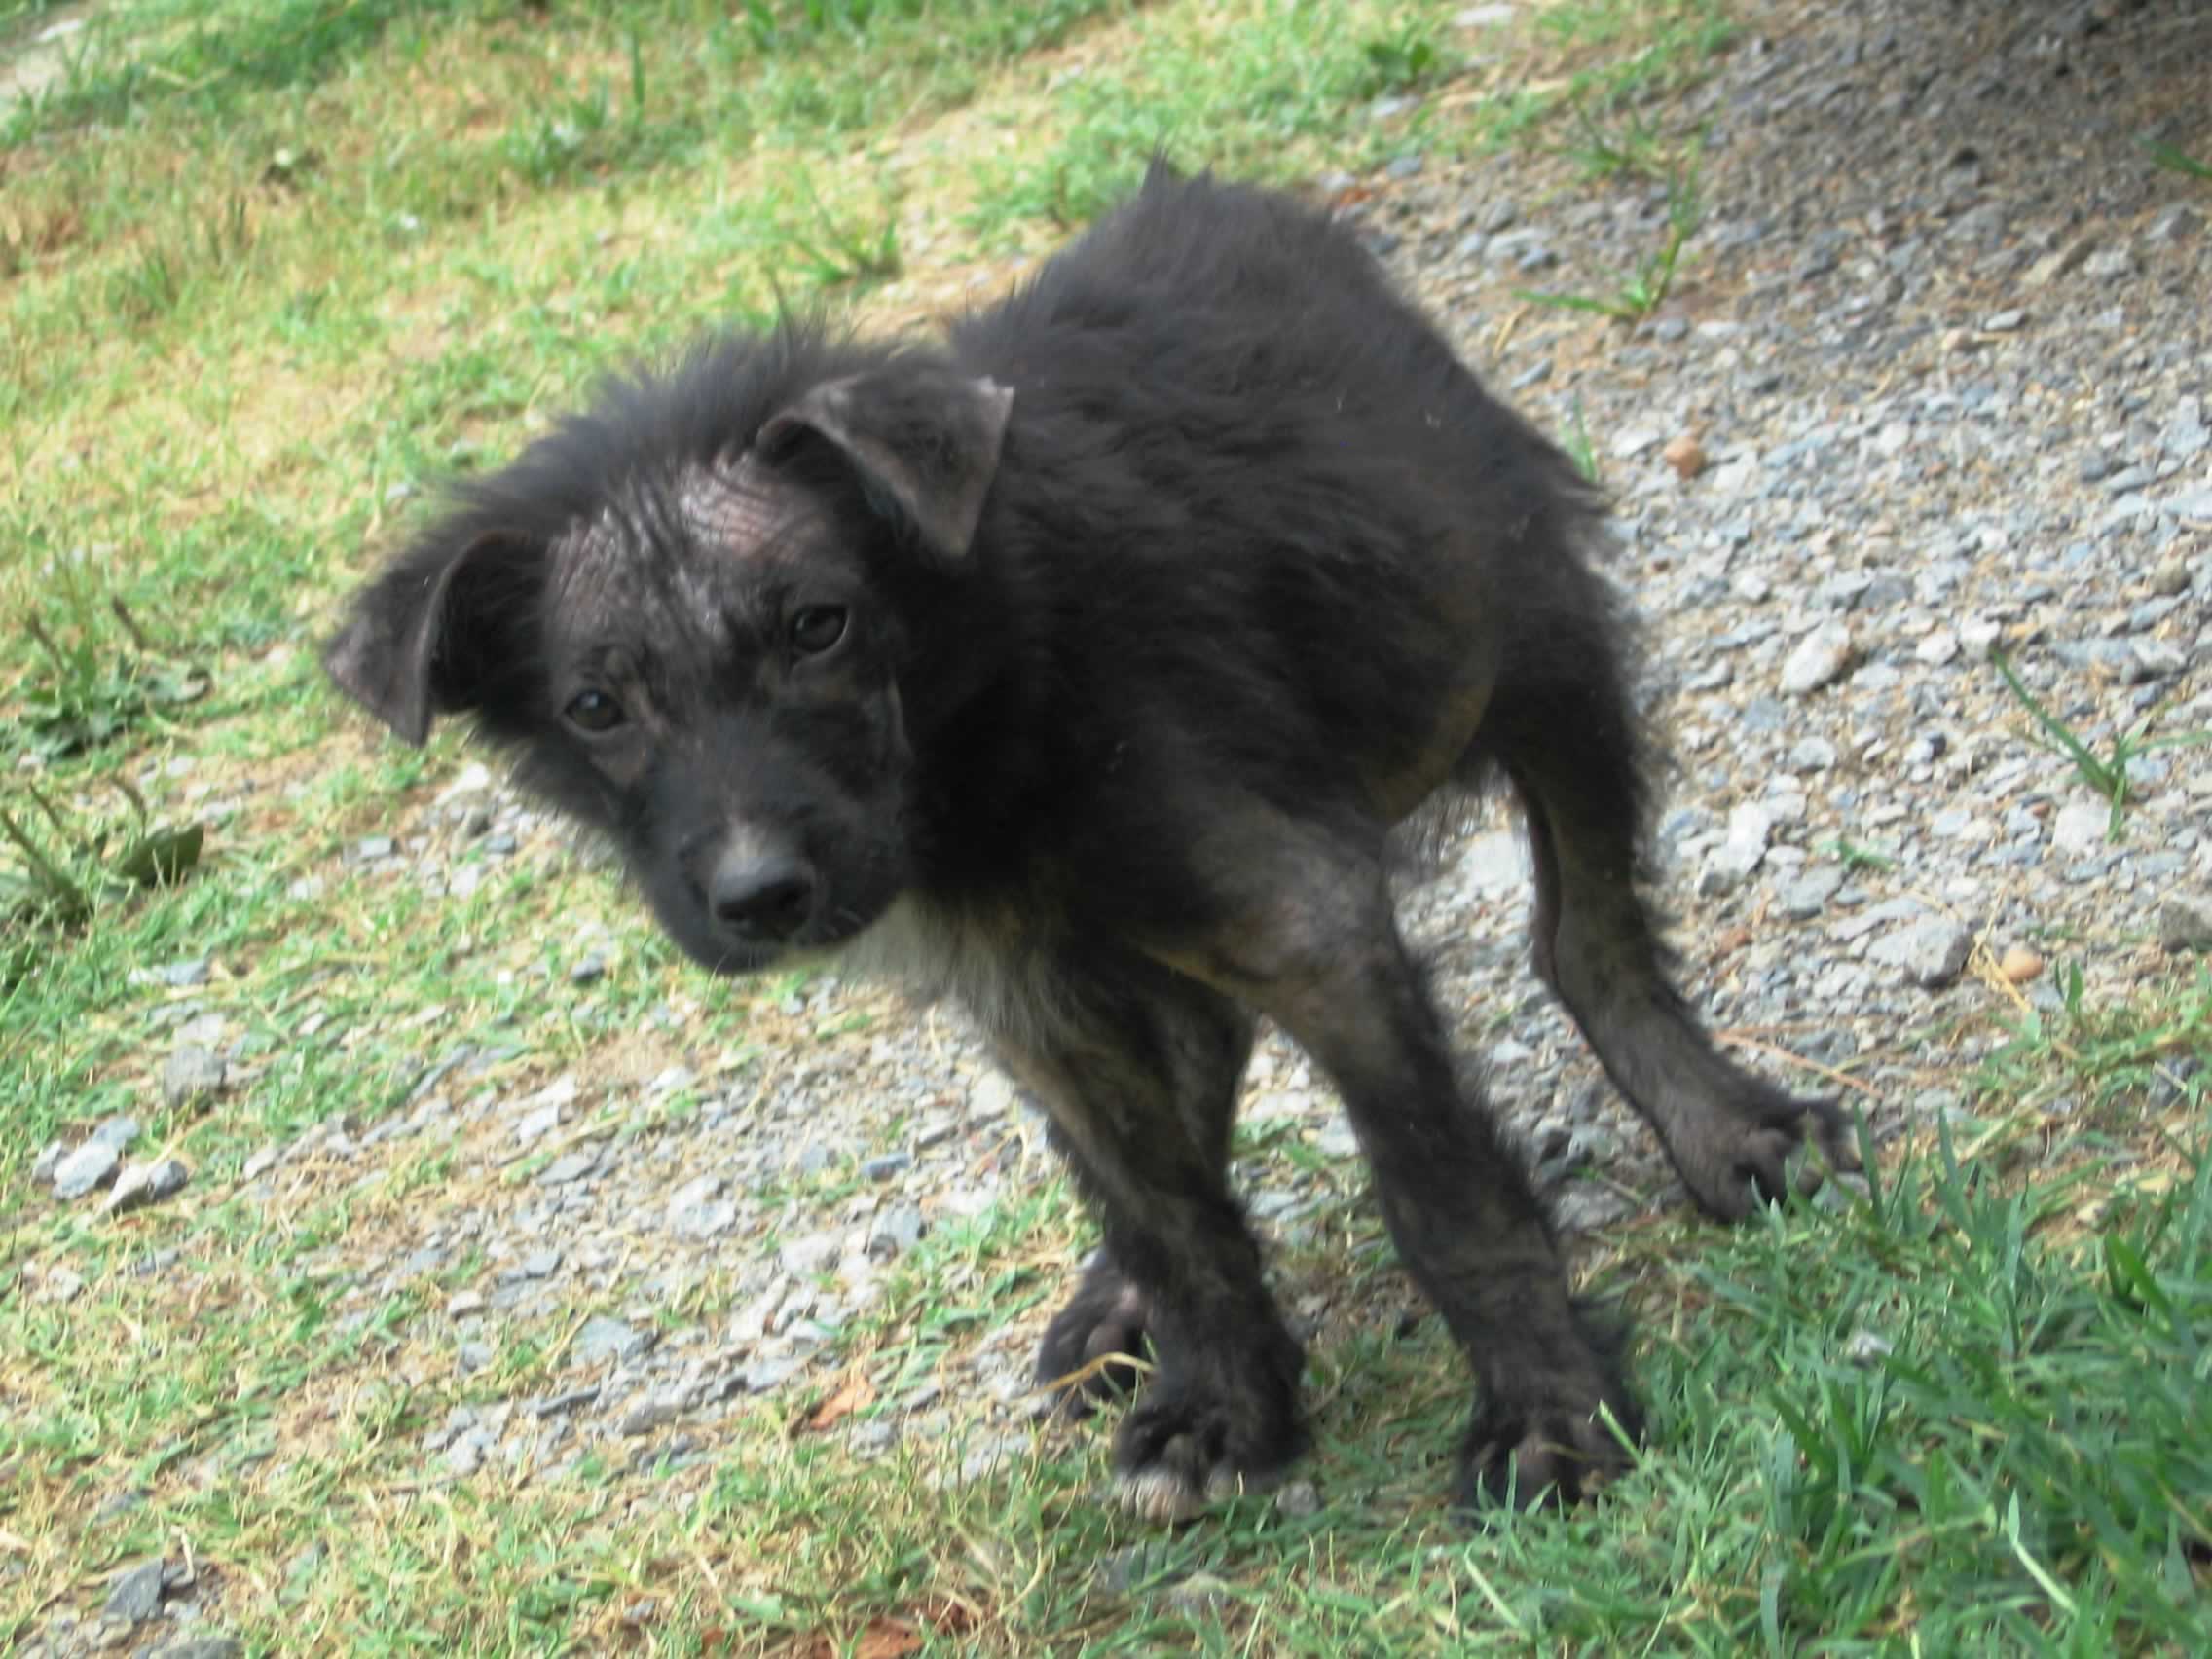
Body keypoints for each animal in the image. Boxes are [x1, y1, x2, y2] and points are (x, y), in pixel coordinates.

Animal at [322, 166, 1849, 1522]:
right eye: (597, 707)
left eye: (817, 625)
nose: (760, 897)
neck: (990, 710)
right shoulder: (1034, 990)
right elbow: (1161, 1214)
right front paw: (1225, 1402)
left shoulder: (1302, 917)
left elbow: (1443, 1192)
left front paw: (1549, 1418)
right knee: (1192, 1073)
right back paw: (1117, 1307)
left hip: (1523, 638)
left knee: (1584, 933)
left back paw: (1727, 1127)